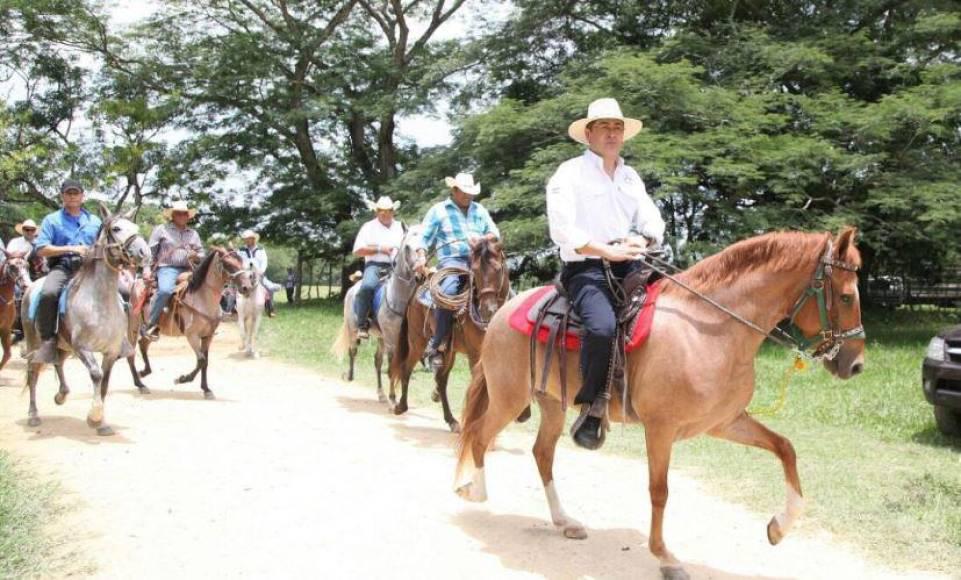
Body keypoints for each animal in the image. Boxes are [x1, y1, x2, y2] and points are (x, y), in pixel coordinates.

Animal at [21, 204, 149, 436]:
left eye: (135, 227)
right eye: (116, 228)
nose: (144, 252)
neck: (98, 303)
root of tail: (32, 286)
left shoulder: (111, 351)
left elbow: (104, 383)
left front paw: (103, 424)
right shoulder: (81, 347)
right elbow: (96, 375)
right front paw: (94, 418)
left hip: (62, 345)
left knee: (58, 362)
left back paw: (61, 394)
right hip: (34, 342)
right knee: (32, 373)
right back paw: (33, 415)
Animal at [125, 247, 253, 402]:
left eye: (242, 261)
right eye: (228, 264)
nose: (247, 287)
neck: (202, 298)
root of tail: (136, 283)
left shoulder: (208, 336)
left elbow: (205, 362)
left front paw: (206, 389)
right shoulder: (192, 336)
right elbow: (201, 360)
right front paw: (182, 379)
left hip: (155, 330)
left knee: (143, 344)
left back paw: (144, 372)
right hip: (133, 325)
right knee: (131, 352)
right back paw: (140, 384)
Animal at [330, 224, 420, 406]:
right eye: (407, 247)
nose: (419, 275)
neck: (399, 297)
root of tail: (353, 287)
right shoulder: (392, 338)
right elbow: (392, 365)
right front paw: (394, 398)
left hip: (380, 337)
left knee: (377, 361)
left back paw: (381, 394)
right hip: (354, 329)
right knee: (353, 351)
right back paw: (350, 376)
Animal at [388, 236, 512, 430]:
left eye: (498, 269)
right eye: (475, 271)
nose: (487, 310)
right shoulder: (475, 354)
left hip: (449, 351)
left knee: (441, 380)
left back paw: (451, 419)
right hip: (417, 342)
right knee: (406, 368)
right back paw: (401, 406)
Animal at [454, 229, 868, 576]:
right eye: (847, 296)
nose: (856, 364)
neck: (708, 328)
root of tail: (501, 312)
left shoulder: (725, 422)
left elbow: (785, 448)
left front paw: (781, 525)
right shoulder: (660, 429)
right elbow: (659, 491)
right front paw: (665, 557)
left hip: (552, 404)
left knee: (541, 452)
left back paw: (564, 521)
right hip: (509, 397)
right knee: (478, 433)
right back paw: (475, 491)